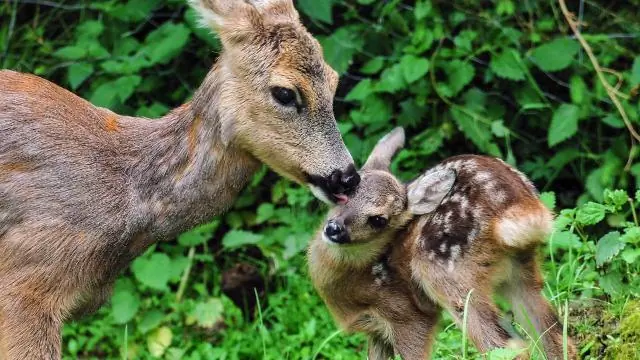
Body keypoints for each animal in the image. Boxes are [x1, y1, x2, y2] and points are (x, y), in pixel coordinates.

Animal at [308, 128, 576, 358]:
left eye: (378, 220)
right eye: (345, 194)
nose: (334, 229)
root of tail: (517, 205)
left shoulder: (407, 315)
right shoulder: (376, 332)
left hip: (447, 276)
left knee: (509, 347)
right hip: (521, 272)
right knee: (555, 336)